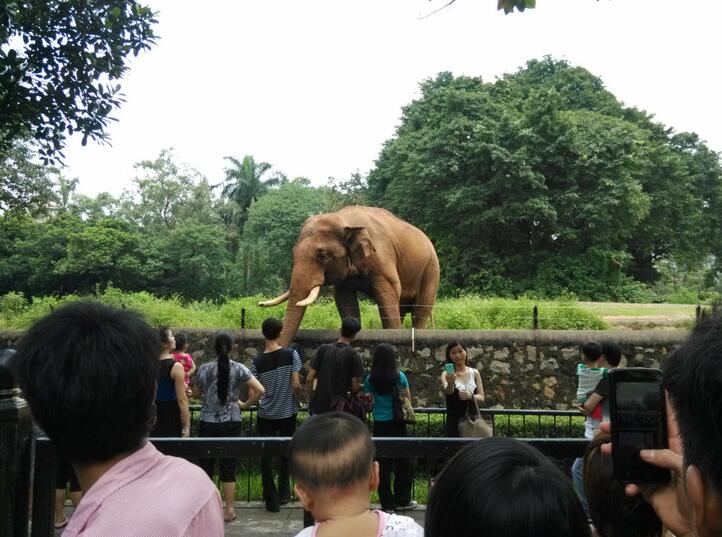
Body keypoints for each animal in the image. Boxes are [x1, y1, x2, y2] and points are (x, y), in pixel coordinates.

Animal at [258, 203, 438, 346]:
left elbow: (389, 293)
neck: (343, 219)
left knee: (419, 310)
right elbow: (344, 299)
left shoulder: (382, 257)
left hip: (431, 269)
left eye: (322, 255)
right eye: (293, 254)